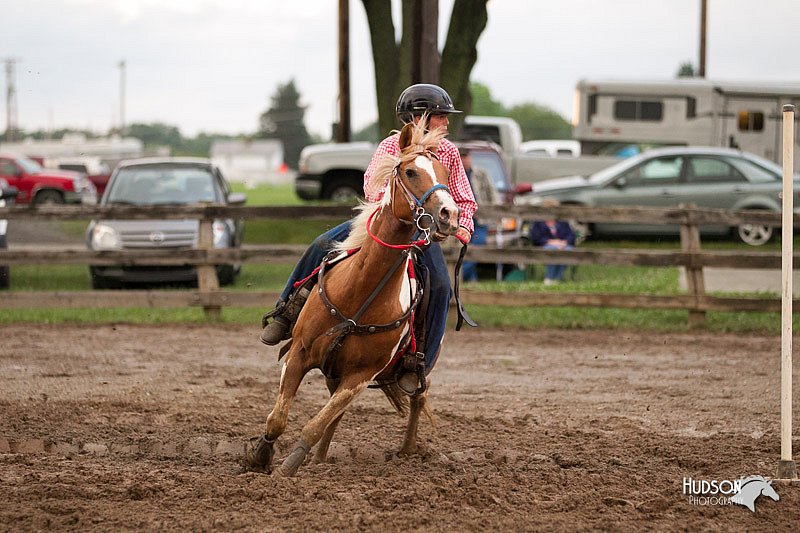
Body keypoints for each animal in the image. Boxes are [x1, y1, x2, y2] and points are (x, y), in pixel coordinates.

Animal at [247, 119, 460, 474]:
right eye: (411, 172)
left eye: (446, 173)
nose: (449, 214)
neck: (360, 292)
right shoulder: (299, 353)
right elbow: (277, 419)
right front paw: (259, 458)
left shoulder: (359, 377)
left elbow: (316, 424)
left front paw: (288, 467)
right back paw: (320, 459)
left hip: (412, 368)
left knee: (417, 398)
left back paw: (407, 451)